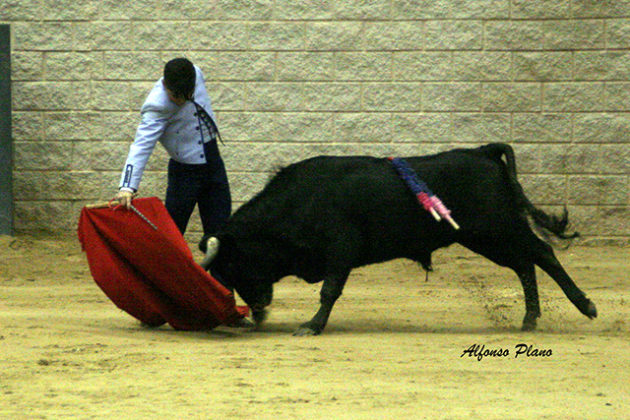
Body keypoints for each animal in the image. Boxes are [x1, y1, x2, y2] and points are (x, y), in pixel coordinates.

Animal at [201, 144, 596, 334]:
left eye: (235, 262)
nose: (257, 311)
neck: (298, 200)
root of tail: (482, 152)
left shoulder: (340, 249)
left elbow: (329, 290)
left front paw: (312, 326)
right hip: (484, 239)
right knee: (523, 264)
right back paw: (529, 319)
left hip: (500, 227)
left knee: (543, 253)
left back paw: (585, 306)